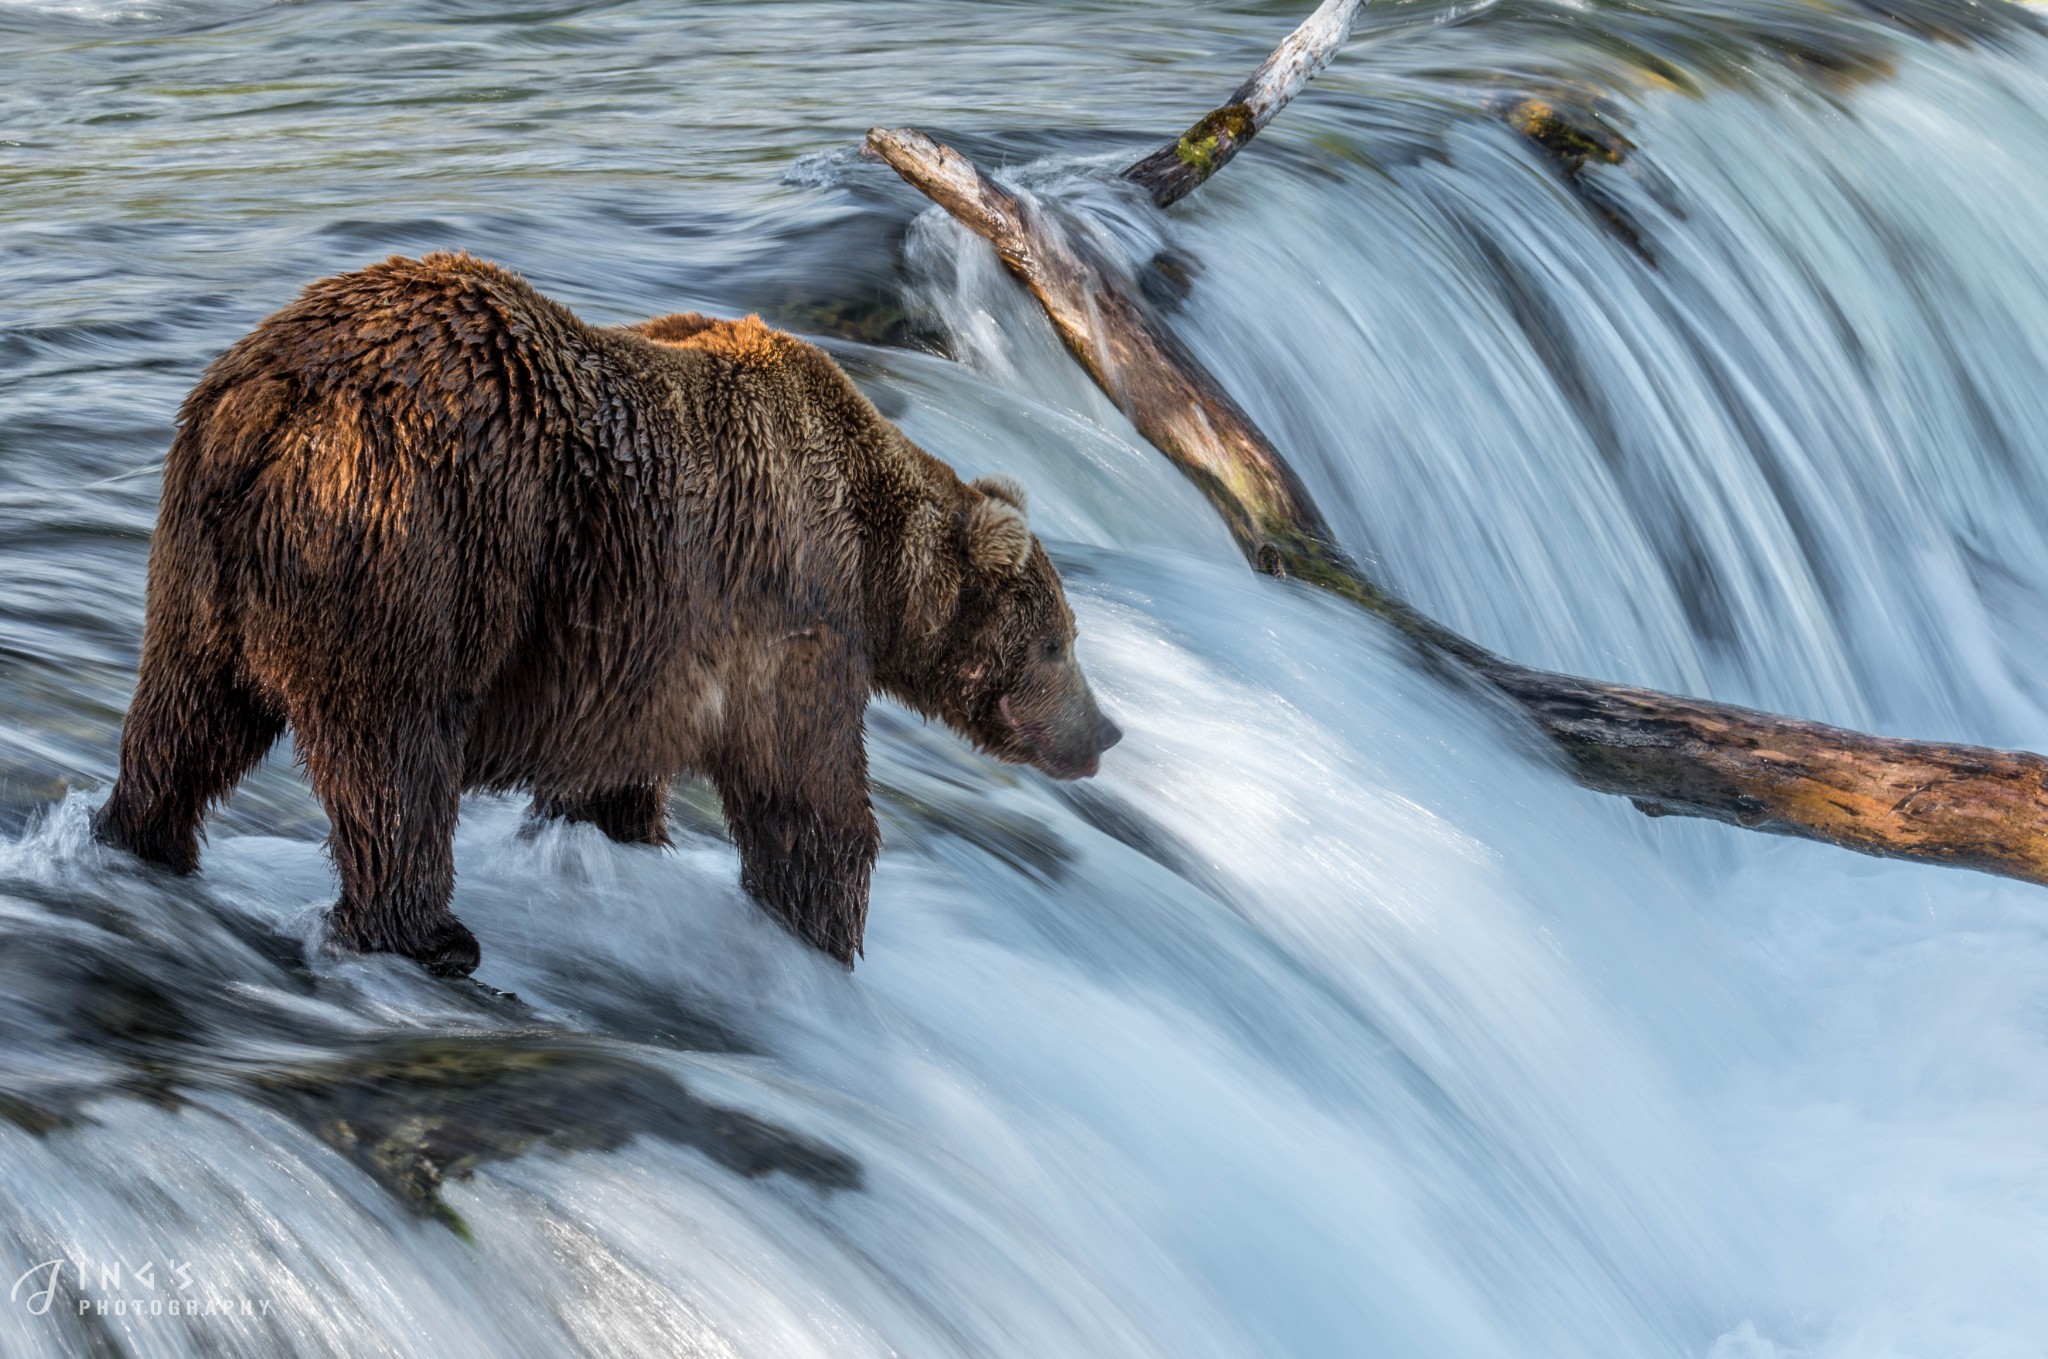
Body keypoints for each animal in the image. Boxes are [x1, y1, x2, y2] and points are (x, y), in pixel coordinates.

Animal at [96, 251, 1122, 978]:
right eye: (1057, 643)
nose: (1107, 730)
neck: (875, 558)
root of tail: (270, 400)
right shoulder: (788, 605)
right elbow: (807, 791)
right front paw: (823, 930)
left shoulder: (641, 644)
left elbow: (613, 779)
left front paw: (619, 838)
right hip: (413, 541)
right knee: (394, 751)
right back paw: (428, 932)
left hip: (203, 554)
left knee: (188, 713)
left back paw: (140, 836)